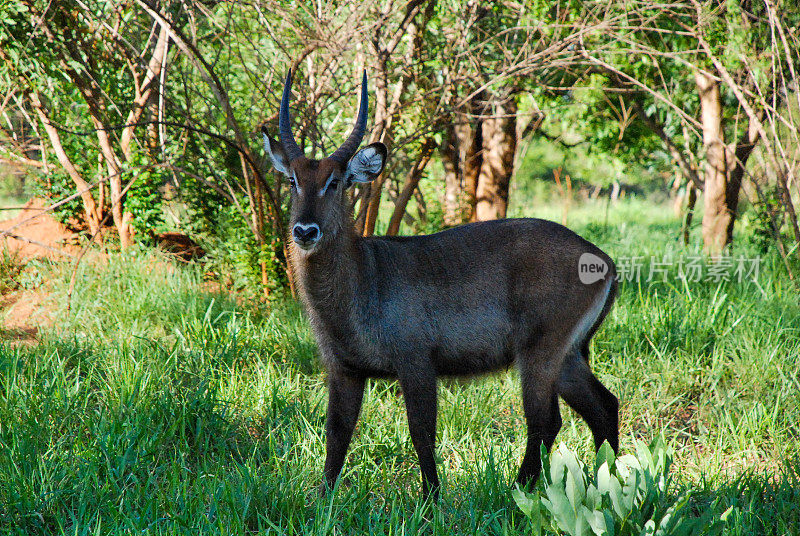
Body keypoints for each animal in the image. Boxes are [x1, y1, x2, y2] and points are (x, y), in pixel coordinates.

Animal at [262, 70, 620, 498]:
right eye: (293, 180)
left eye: (334, 182)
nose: (305, 230)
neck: (365, 276)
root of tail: (604, 260)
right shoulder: (344, 369)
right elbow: (337, 433)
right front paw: (323, 499)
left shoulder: (416, 362)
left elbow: (421, 433)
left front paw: (432, 499)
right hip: (567, 356)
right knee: (604, 407)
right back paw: (607, 483)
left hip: (540, 351)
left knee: (546, 421)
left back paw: (519, 490)